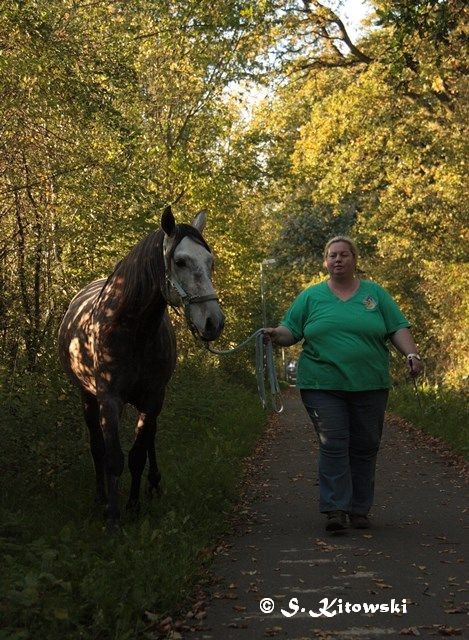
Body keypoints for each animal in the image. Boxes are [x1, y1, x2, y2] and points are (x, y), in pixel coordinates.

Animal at [57, 208, 224, 524]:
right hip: (87, 396)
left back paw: (154, 484)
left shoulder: (153, 397)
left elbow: (138, 454)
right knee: (97, 446)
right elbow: (112, 458)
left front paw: (133, 506)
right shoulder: (109, 399)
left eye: (210, 262)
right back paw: (102, 495)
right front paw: (112, 515)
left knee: (149, 440)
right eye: (180, 261)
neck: (130, 327)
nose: (214, 322)